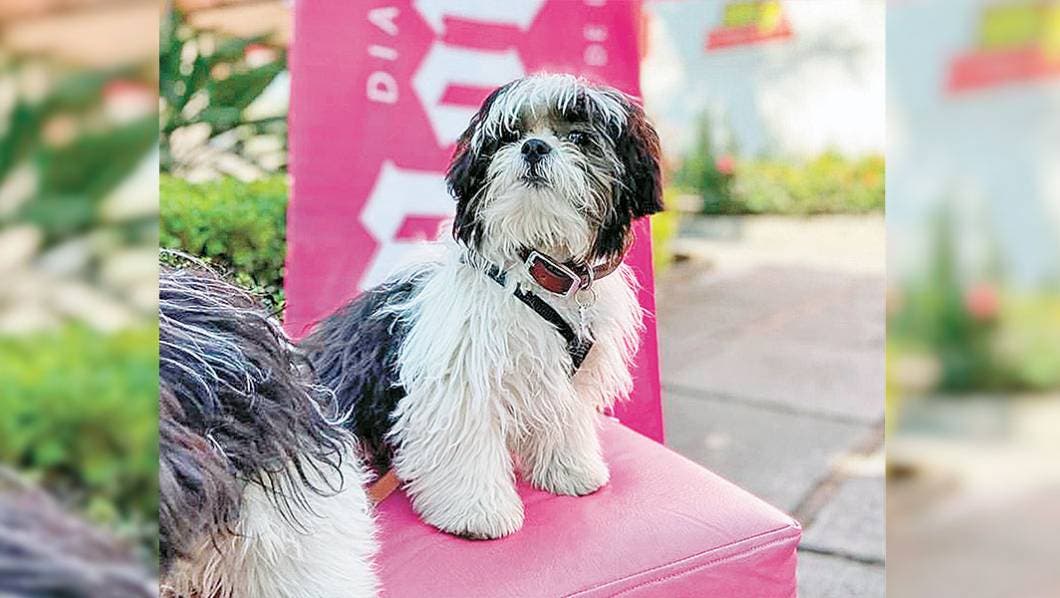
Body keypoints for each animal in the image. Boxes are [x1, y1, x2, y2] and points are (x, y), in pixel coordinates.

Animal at [302, 74, 663, 540]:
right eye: (510, 135)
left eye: (581, 139)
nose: (534, 147)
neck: (538, 269)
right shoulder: (458, 379)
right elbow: (464, 444)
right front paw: (476, 511)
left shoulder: (565, 376)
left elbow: (565, 420)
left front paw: (570, 470)